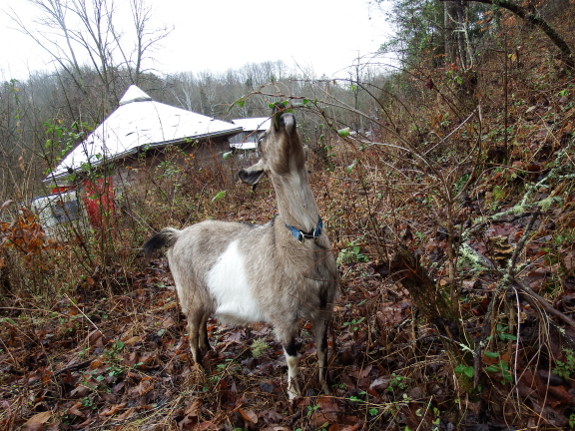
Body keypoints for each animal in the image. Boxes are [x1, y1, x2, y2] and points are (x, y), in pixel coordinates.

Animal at [144, 104, 340, 398]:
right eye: (260, 139)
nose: (281, 114)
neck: (301, 239)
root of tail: (177, 235)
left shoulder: (323, 308)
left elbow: (323, 350)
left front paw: (327, 389)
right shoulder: (282, 316)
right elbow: (293, 357)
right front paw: (294, 394)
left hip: (206, 298)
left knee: (202, 328)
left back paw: (210, 351)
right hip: (190, 297)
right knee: (190, 334)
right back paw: (201, 372)